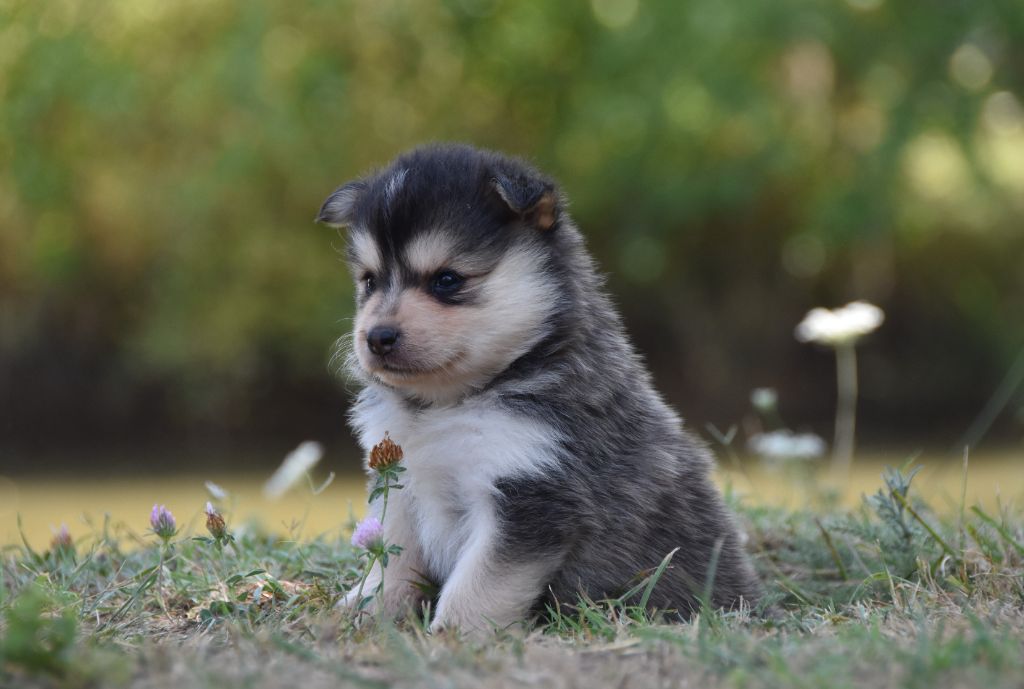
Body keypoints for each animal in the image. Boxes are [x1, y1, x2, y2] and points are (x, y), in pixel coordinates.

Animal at [318, 144, 761, 633]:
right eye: (370, 281)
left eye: (447, 279)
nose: (377, 337)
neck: (446, 406)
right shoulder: (399, 483)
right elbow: (391, 562)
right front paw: (364, 610)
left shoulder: (531, 494)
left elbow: (478, 586)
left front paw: (452, 636)